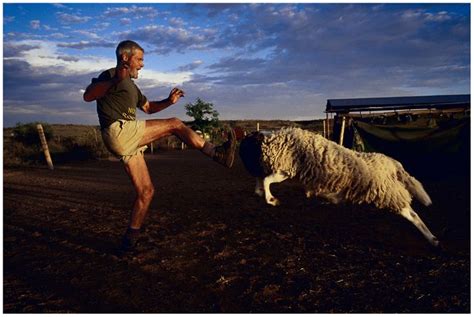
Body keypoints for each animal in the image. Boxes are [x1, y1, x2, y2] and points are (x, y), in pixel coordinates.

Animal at [241, 127, 440, 246]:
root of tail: (392, 163)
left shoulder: (286, 170)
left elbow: (266, 180)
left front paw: (271, 199)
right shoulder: (284, 172)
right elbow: (262, 179)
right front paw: (260, 193)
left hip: (389, 194)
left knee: (413, 215)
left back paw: (432, 238)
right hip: (389, 193)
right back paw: (433, 239)